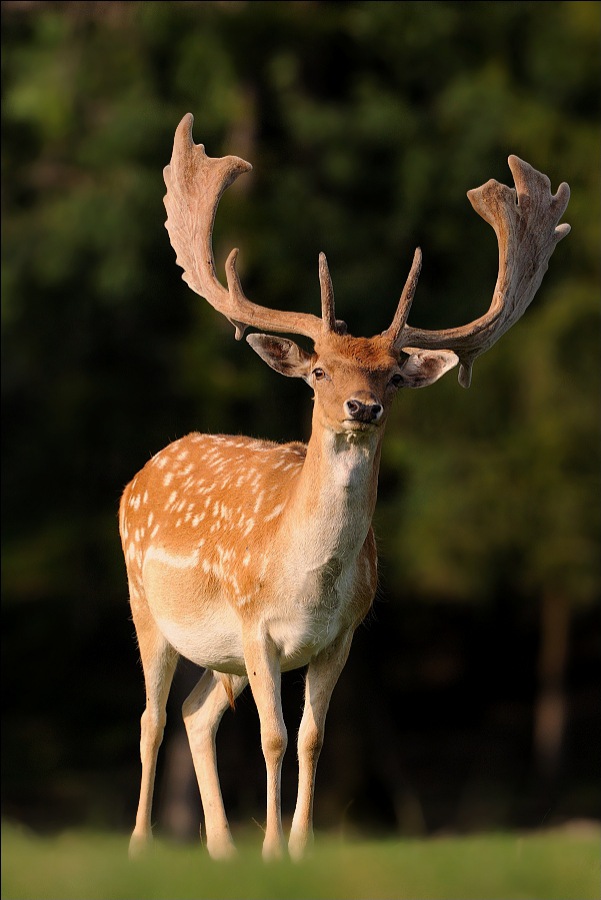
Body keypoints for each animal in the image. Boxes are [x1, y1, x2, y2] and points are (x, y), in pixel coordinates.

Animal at [119, 112, 570, 862]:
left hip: (219, 657)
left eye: (391, 374)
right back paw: (139, 847)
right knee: (152, 718)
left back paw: (220, 851)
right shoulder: (255, 627)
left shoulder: (341, 637)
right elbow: (273, 738)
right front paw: (273, 849)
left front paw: (296, 849)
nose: (363, 407)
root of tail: (148, 466)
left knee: (194, 712)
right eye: (320, 371)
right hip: (146, 603)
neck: (305, 582)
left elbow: (310, 738)